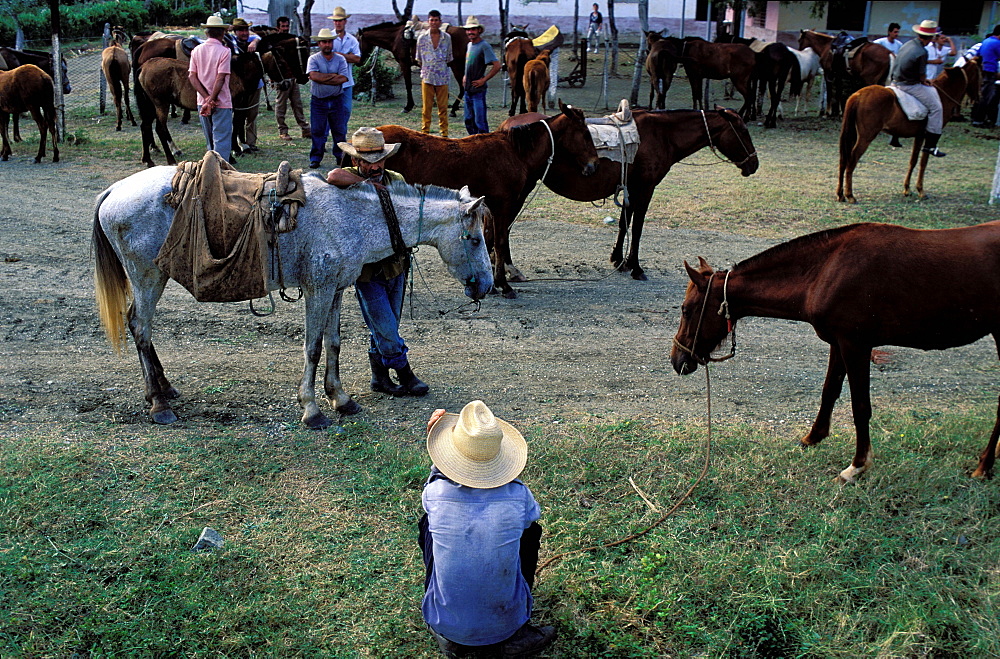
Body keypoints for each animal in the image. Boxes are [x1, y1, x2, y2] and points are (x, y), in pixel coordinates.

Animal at [94, 168, 492, 430]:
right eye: (474, 239)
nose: (486, 286)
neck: (350, 217)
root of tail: (113, 190)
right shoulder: (318, 288)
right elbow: (313, 348)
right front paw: (312, 410)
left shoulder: (336, 288)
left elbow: (333, 343)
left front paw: (341, 399)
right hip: (147, 276)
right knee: (140, 326)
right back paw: (159, 404)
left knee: (141, 328)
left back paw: (164, 389)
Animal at [376, 100, 596, 296]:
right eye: (586, 134)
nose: (593, 165)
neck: (515, 153)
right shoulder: (503, 206)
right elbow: (499, 241)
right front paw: (503, 285)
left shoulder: (490, 207)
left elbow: (490, 238)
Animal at [500, 107, 756, 282]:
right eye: (743, 131)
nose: (754, 164)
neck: (663, 135)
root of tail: (506, 127)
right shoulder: (645, 188)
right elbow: (638, 227)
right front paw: (635, 267)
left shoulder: (630, 187)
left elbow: (624, 222)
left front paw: (619, 260)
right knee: (505, 225)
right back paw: (510, 269)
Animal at [668, 222, 1000, 484]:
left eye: (686, 310)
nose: (677, 360)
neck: (827, 270)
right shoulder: (838, 343)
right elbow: (829, 391)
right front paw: (812, 437)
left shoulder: (856, 344)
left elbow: (860, 406)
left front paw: (857, 466)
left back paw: (984, 466)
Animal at [836, 65, 984, 205]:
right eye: (977, 74)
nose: (978, 98)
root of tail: (858, 94)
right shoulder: (927, 136)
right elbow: (923, 162)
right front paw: (921, 190)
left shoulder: (919, 136)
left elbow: (913, 161)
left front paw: (907, 189)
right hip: (866, 137)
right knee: (852, 159)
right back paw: (850, 195)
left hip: (853, 134)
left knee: (844, 159)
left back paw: (840, 194)